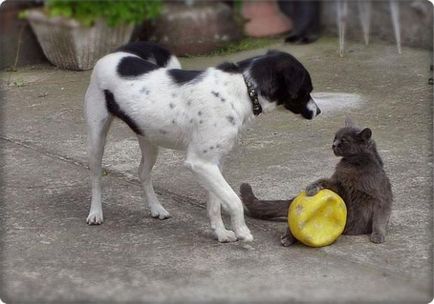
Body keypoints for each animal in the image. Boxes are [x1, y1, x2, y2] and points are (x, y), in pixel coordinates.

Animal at [84, 41, 318, 243]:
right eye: (306, 90)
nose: (318, 111)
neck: (245, 87)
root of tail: (117, 53)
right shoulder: (200, 163)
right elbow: (234, 200)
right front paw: (242, 231)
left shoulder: (214, 163)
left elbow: (215, 204)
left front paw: (221, 233)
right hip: (97, 137)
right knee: (96, 175)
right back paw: (96, 213)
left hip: (149, 138)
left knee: (142, 172)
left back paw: (156, 209)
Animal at [241, 119, 394, 247]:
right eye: (335, 138)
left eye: (344, 140)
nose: (333, 145)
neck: (354, 165)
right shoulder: (339, 185)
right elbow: (323, 180)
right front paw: (312, 187)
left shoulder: (382, 197)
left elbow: (380, 219)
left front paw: (378, 235)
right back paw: (288, 237)